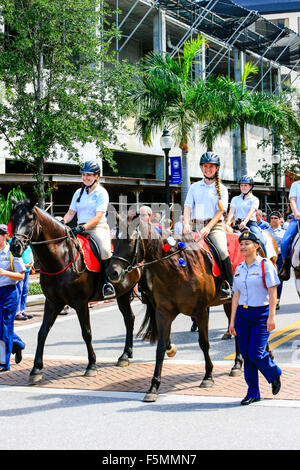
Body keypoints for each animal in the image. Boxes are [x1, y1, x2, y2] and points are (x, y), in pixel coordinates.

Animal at [9, 196, 148, 384]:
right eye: (12, 218)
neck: (61, 257)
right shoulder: (52, 302)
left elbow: (86, 333)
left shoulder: (80, 303)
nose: (15, 247)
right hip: (123, 294)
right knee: (129, 319)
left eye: (30, 219)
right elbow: (42, 332)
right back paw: (126, 355)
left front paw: (91, 365)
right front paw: (36, 369)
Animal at [106, 219, 245, 400]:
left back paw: (237, 365)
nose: (112, 272)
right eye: (114, 240)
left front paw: (208, 376)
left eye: (129, 241)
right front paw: (153, 387)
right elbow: (160, 348)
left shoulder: (201, 311)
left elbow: (204, 343)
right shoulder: (163, 313)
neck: (177, 269)